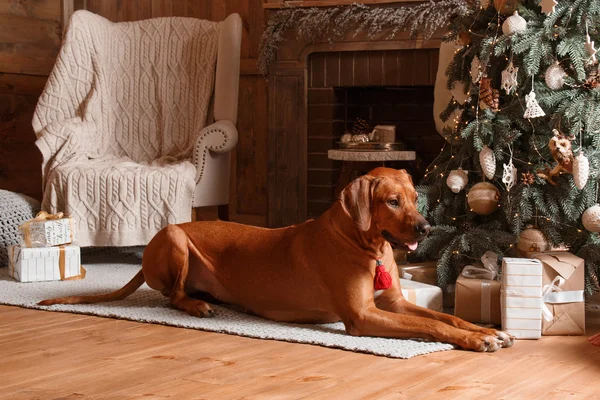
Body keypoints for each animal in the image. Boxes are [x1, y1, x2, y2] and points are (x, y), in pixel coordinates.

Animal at [39, 167, 512, 352]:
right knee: (170, 296)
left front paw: (487, 330)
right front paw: (476, 340)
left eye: (415, 197)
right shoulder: (362, 316)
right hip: (174, 236)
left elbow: (447, 317)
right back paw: (197, 304)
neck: (363, 243)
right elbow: (433, 326)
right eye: (392, 202)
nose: (427, 228)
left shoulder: (392, 302)